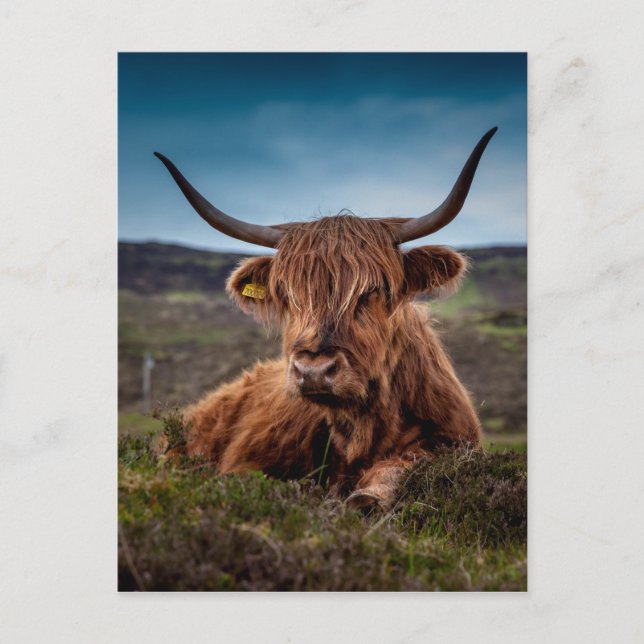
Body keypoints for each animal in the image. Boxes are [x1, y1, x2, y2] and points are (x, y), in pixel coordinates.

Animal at [154, 127, 497, 510]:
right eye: (287, 294)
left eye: (373, 290)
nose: (313, 370)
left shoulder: (451, 441)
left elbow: (402, 467)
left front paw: (368, 496)